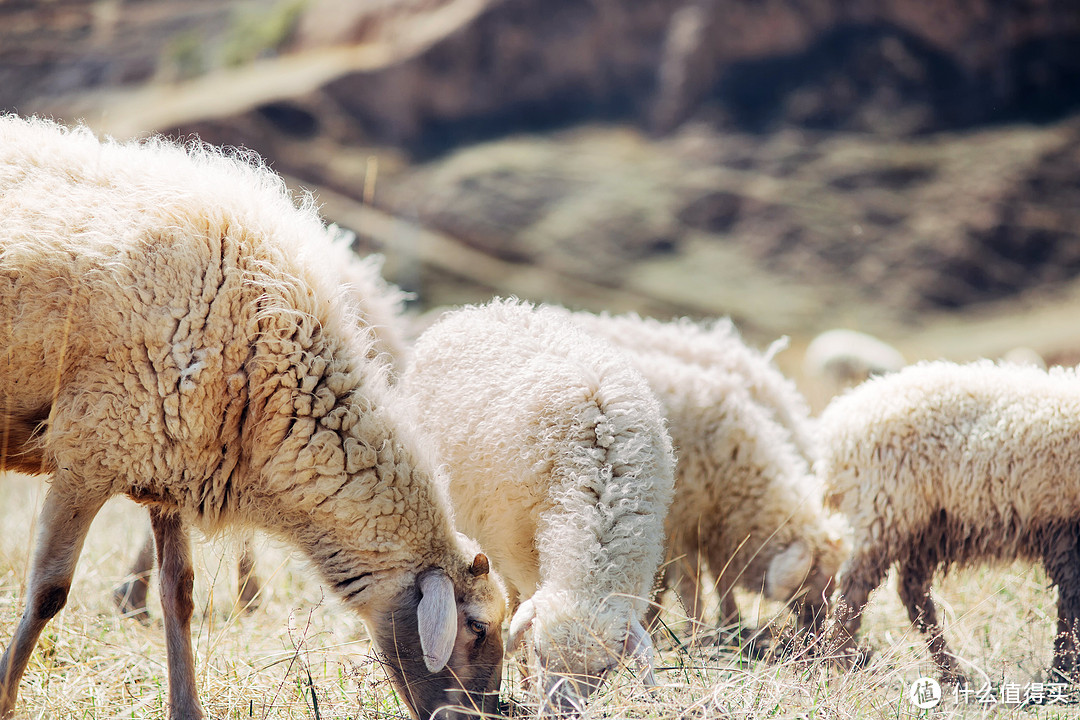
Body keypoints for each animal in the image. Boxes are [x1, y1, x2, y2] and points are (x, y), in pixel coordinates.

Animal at [0, 113, 505, 720]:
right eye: (477, 627)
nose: (493, 713)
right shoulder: (89, 455)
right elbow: (48, 594)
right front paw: (3, 697)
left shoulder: (171, 465)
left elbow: (180, 594)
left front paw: (186, 706)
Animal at [397, 297, 673, 716]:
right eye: (543, 654)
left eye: (605, 670)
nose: (561, 713)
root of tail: (484, 308)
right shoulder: (516, 552)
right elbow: (516, 615)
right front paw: (526, 684)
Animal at [561, 310, 846, 643]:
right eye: (815, 580)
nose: (817, 638)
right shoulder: (680, 520)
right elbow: (690, 579)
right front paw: (696, 630)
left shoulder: (706, 524)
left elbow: (719, 576)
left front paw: (730, 624)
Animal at [816, 360, 1080, 682]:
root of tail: (836, 430)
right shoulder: (1066, 529)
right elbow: (1072, 603)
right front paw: (1064, 672)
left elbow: (1069, 606)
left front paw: (1063, 670)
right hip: (886, 509)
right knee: (856, 588)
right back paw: (840, 661)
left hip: (929, 527)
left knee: (912, 592)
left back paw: (952, 672)